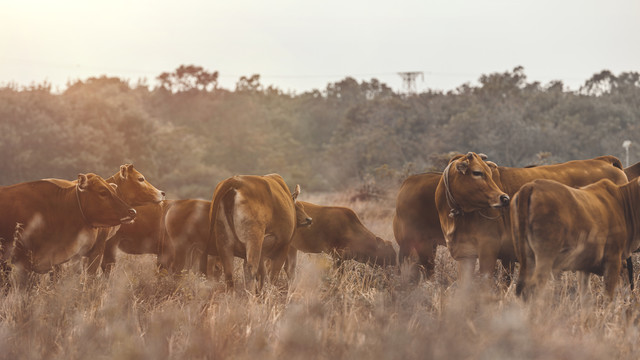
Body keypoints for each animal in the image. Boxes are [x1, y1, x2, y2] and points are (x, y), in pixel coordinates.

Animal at [432, 152, 628, 282]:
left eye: (486, 171)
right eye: (477, 172)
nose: (504, 198)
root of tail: (604, 161)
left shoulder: (488, 250)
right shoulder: (466, 255)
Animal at [512, 177, 640, 298]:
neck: (621, 202)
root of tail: (532, 185)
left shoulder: (584, 267)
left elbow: (586, 297)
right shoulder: (613, 259)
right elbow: (608, 296)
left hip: (528, 258)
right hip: (545, 257)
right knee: (534, 288)